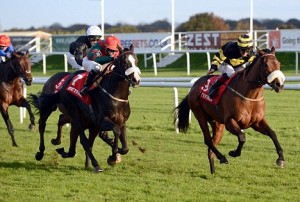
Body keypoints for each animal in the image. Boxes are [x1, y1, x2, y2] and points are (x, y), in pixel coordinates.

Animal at [29, 44, 141, 172]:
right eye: (124, 62)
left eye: (136, 60)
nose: (136, 80)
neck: (116, 96)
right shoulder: (102, 121)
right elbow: (115, 131)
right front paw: (113, 157)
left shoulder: (121, 121)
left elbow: (125, 147)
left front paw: (116, 153)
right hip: (61, 112)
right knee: (45, 126)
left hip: (78, 119)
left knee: (64, 121)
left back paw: (59, 144)